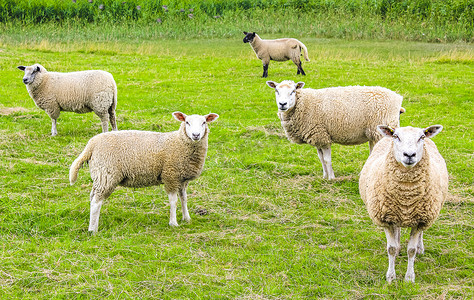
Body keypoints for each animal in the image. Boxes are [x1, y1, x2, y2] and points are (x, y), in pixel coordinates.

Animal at [68, 110, 218, 232]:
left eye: (204, 122)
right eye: (187, 122)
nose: (196, 135)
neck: (178, 142)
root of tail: (92, 143)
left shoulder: (181, 179)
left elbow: (184, 198)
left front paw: (187, 218)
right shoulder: (170, 175)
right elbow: (173, 201)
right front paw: (173, 223)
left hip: (100, 175)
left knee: (92, 197)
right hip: (107, 174)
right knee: (96, 202)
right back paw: (93, 229)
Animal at [266, 79, 404, 179]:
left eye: (293, 91)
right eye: (276, 90)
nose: (282, 104)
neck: (303, 104)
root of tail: (397, 97)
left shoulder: (322, 136)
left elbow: (327, 160)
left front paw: (331, 178)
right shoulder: (317, 137)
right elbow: (321, 159)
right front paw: (324, 176)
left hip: (381, 130)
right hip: (374, 133)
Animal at [360, 125, 448, 284]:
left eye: (421, 137)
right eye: (396, 136)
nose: (409, 155)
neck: (406, 198)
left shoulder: (420, 220)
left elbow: (411, 250)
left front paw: (409, 278)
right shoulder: (385, 219)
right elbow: (391, 248)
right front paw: (390, 277)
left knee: (419, 236)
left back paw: (420, 248)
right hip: (394, 214)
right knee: (397, 231)